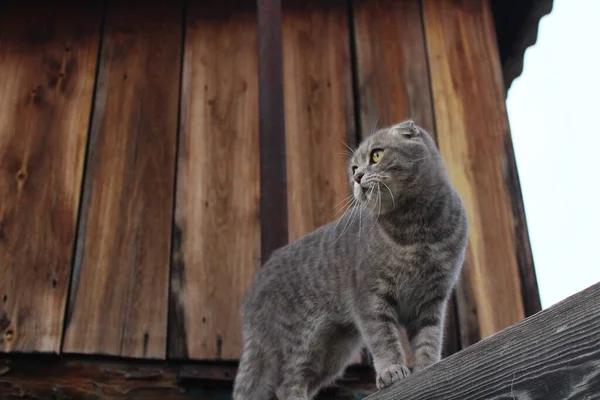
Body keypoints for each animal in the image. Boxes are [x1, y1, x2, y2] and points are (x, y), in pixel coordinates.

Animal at [233, 120, 468, 398]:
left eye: (376, 155)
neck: (418, 231)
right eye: (354, 168)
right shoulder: (369, 297)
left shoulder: (433, 299)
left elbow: (429, 338)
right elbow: (384, 340)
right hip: (297, 343)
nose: (357, 177)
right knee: (286, 384)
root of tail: (250, 297)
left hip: (331, 353)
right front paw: (391, 371)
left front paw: (427, 368)